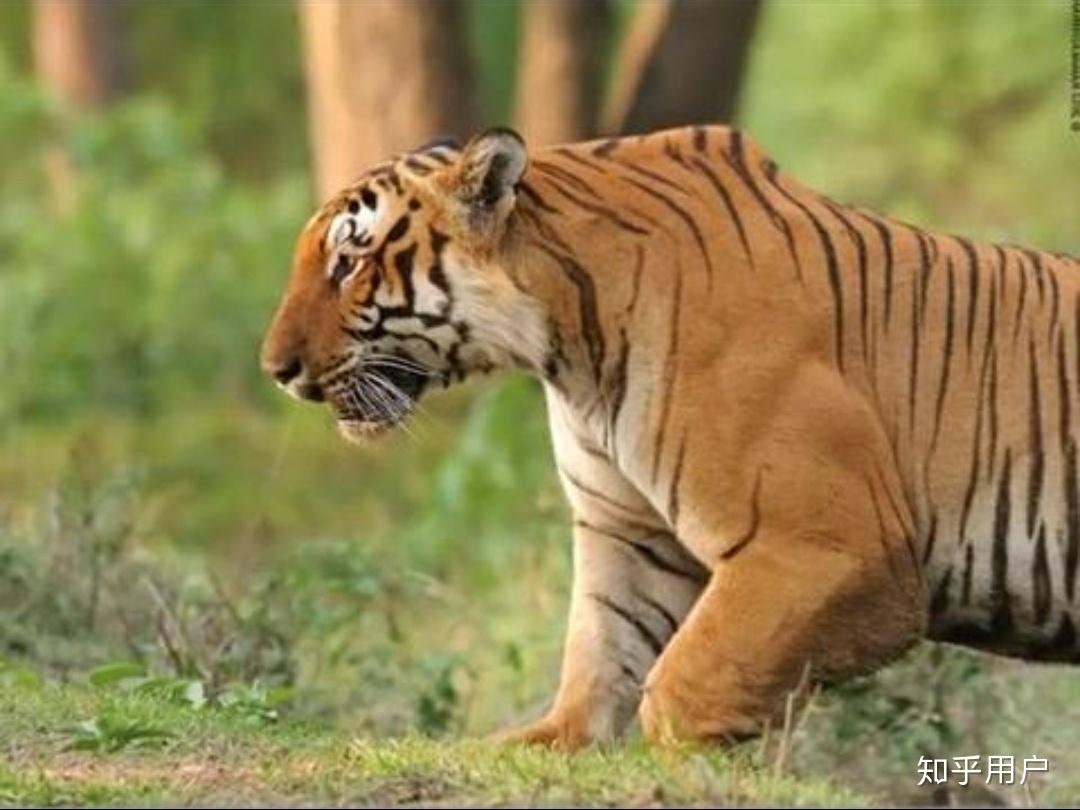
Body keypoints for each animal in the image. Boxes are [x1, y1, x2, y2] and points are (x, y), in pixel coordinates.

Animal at [260, 125, 1080, 748]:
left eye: (349, 261)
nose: (275, 368)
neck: (568, 347)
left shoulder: (834, 549)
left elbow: (686, 688)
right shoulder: (630, 535)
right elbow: (599, 663)